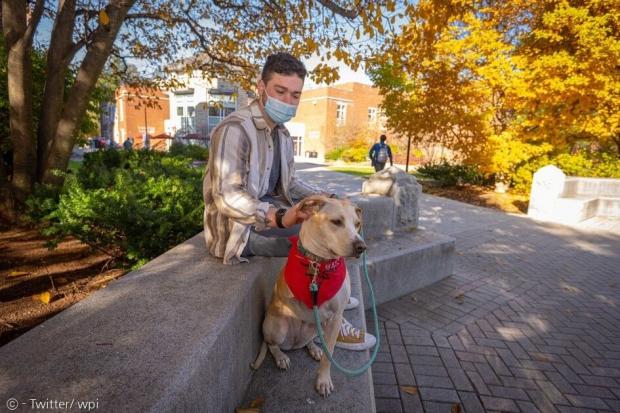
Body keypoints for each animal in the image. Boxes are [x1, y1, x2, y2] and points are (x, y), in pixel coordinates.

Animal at [252, 196, 366, 396]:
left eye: (357, 224)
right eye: (336, 222)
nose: (362, 247)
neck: (320, 265)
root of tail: (294, 343)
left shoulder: (335, 318)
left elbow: (329, 354)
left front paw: (323, 380)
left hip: (313, 329)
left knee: (309, 341)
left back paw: (314, 348)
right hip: (277, 327)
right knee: (272, 345)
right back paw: (281, 357)